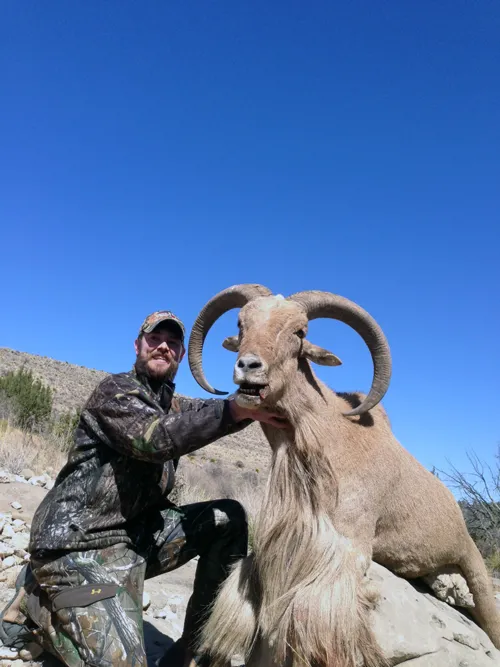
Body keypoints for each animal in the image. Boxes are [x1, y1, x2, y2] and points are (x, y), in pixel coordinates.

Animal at [187, 283, 500, 667]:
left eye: (299, 332)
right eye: (241, 323)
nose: (248, 366)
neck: (328, 438)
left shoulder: (348, 546)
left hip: (473, 563)